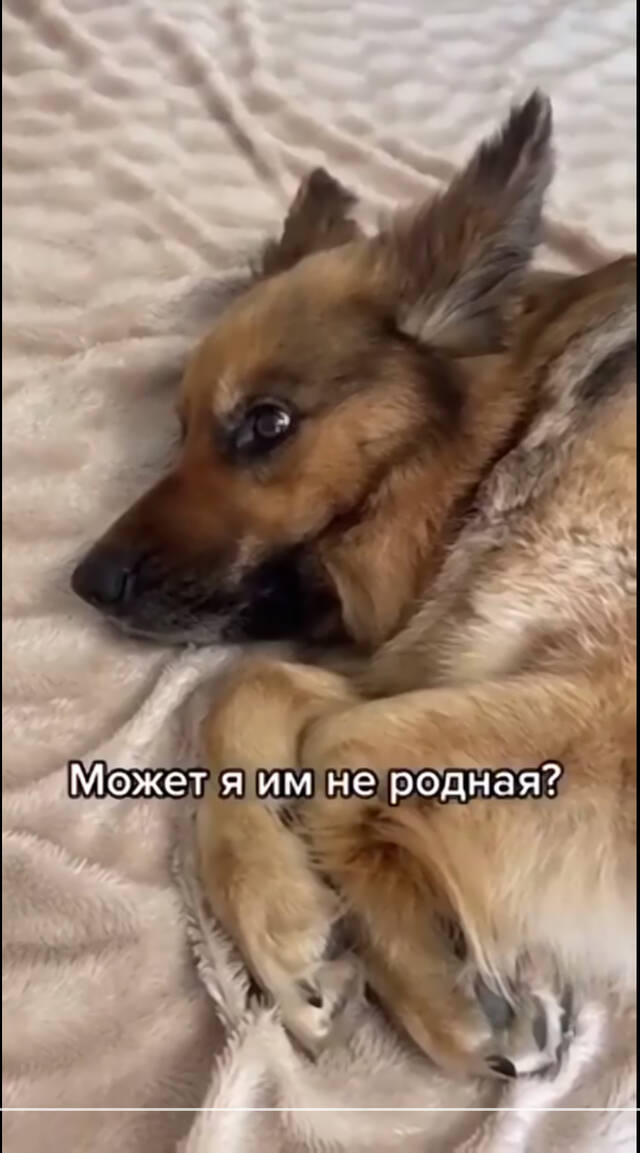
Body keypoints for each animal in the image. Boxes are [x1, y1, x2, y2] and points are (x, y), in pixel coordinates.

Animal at [72, 92, 636, 1079]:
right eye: (179, 430)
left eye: (267, 423)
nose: (85, 581)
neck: (507, 444)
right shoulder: (450, 654)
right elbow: (245, 691)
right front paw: (289, 920)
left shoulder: (603, 691)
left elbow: (338, 743)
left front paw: (435, 977)